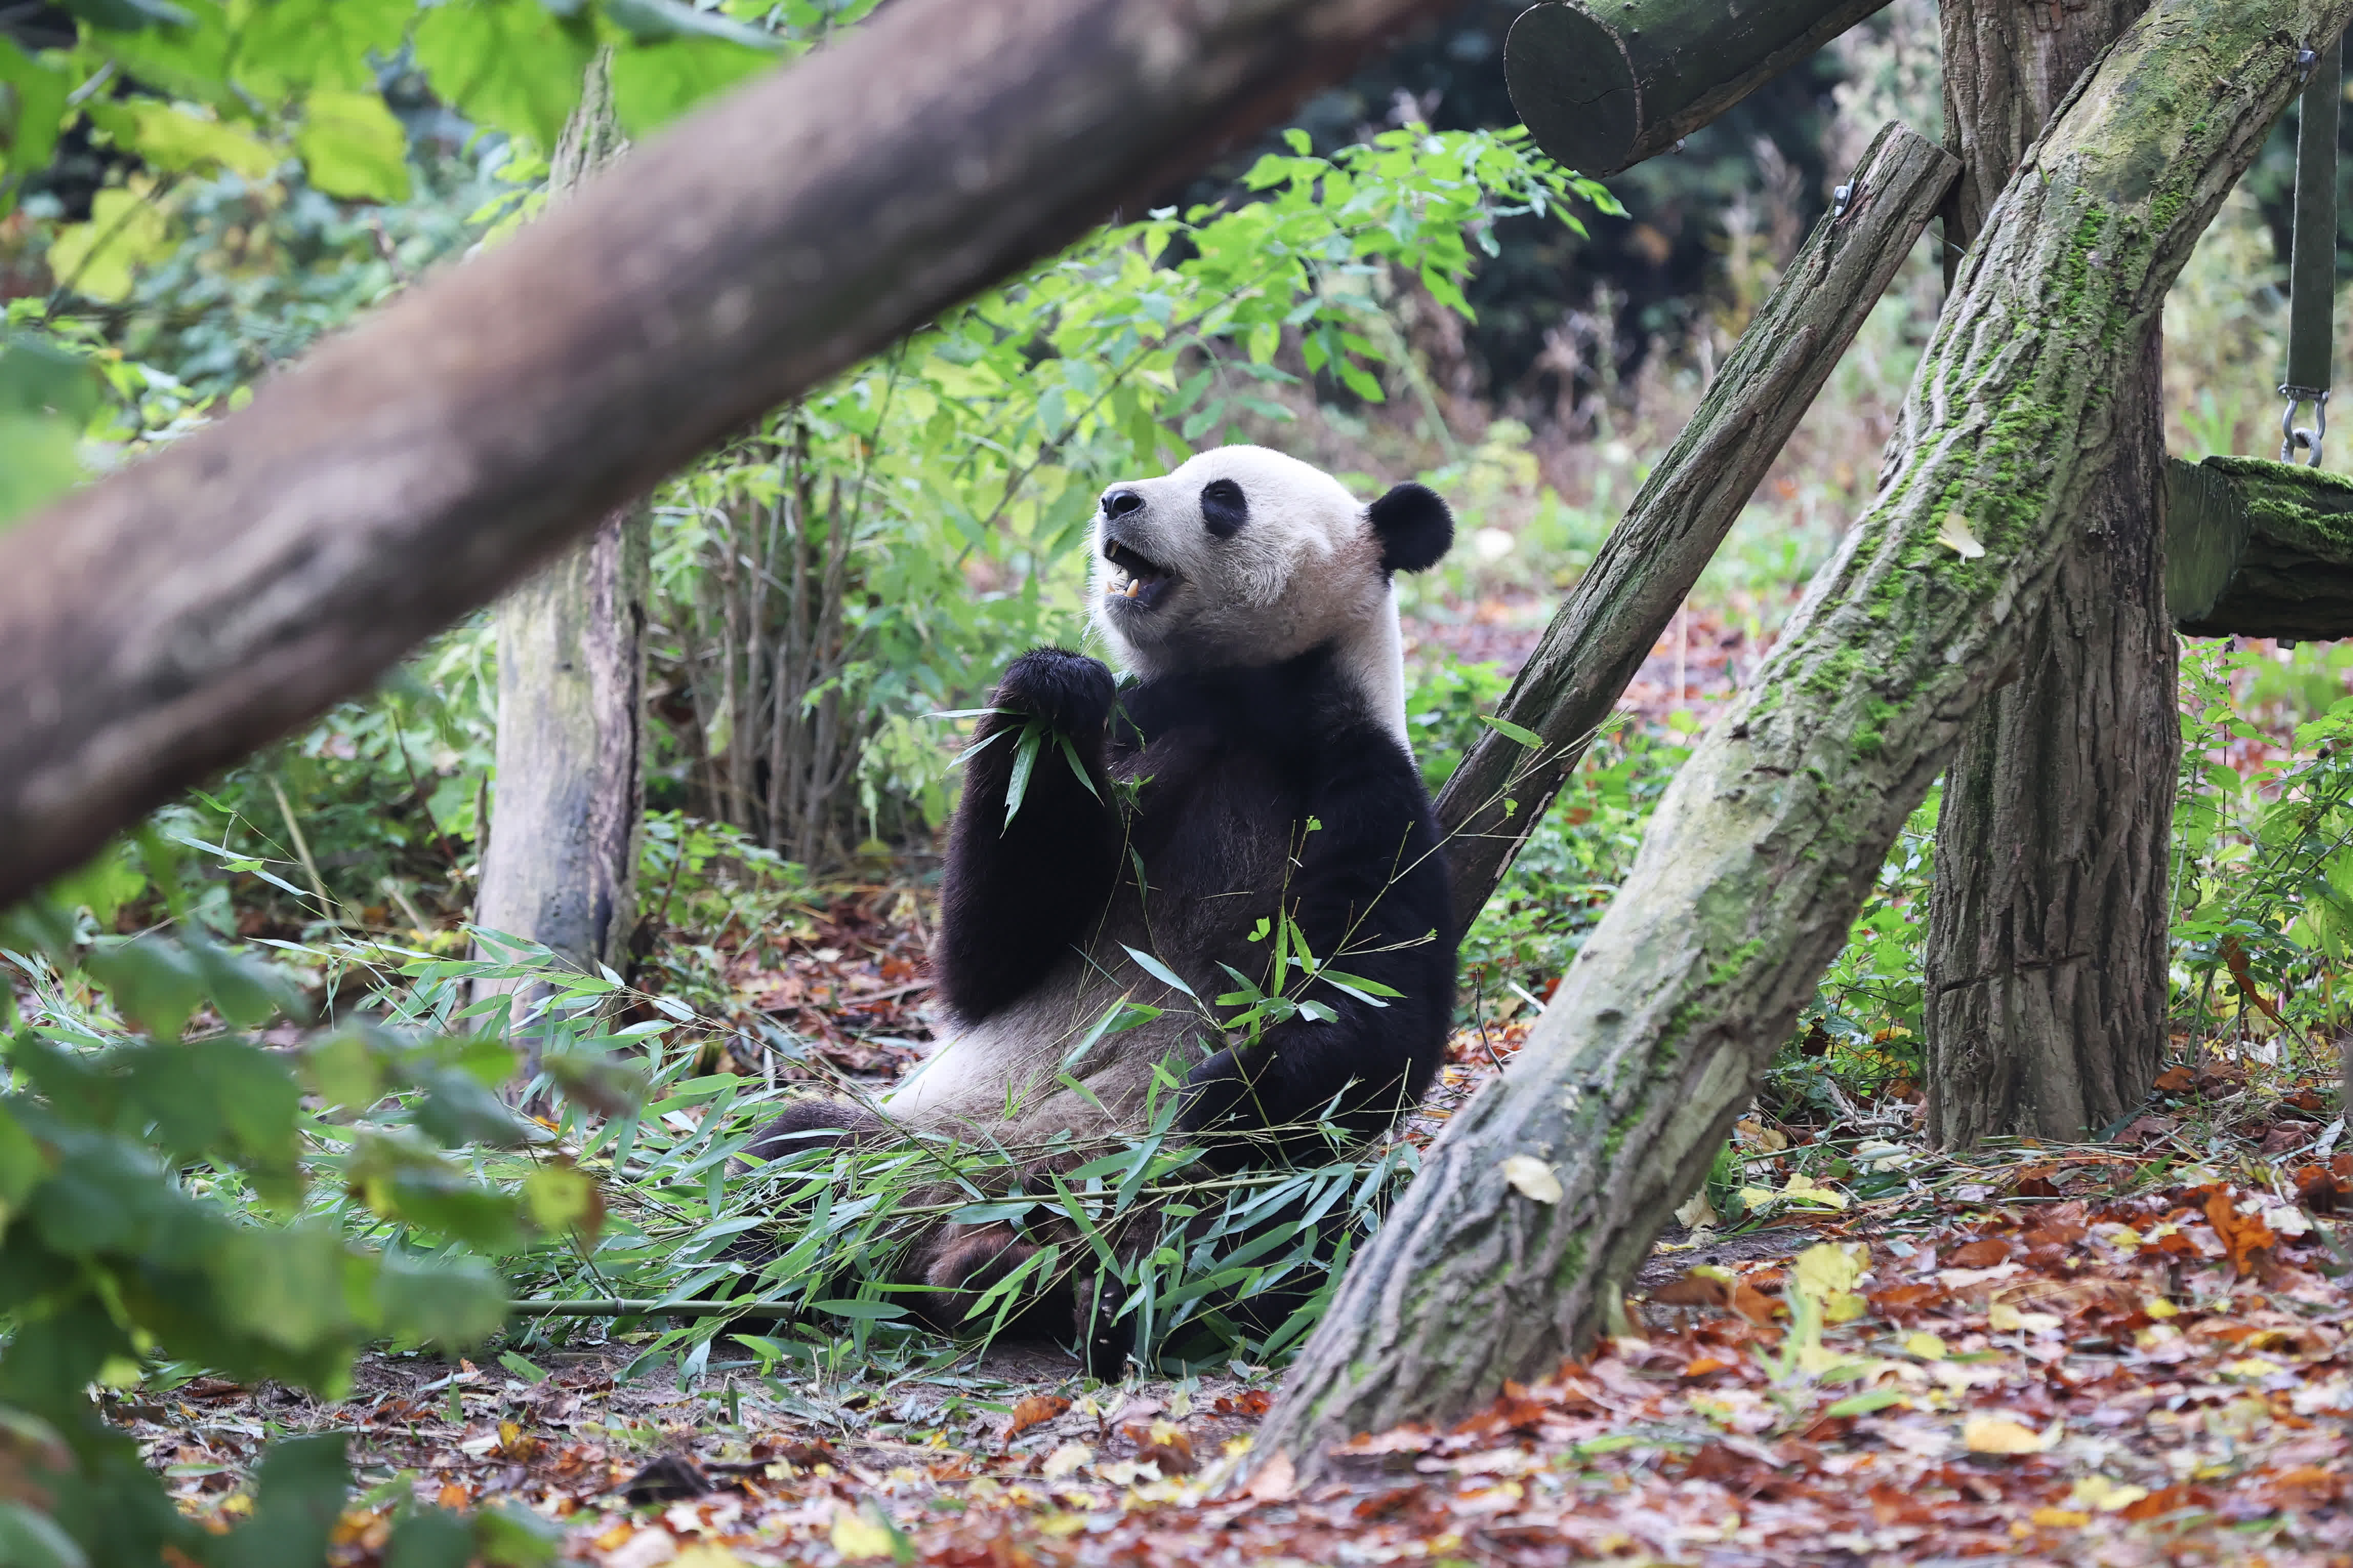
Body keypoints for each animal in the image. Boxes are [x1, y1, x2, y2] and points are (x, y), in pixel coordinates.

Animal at [744, 451, 1459, 1354]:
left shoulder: (1362, 785)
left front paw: (1220, 1088)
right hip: (935, 1140)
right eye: (1179, 468)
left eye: (1221, 497)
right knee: (798, 1154)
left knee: (1308, 1233)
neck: (1238, 695)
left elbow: (1379, 1011)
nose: (1117, 500)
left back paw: (1092, 1293)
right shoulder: (1134, 750)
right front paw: (1053, 684)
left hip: (1214, 1195)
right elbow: (989, 954)